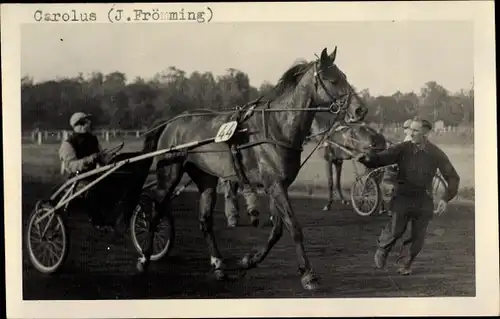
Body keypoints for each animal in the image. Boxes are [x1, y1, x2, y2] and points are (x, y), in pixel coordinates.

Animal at [137, 47, 368, 290]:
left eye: (344, 76)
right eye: (333, 80)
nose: (360, 110)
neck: (277, 127)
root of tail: (172, 122)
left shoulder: (278, 185)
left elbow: (277, 230)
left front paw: (250, 260)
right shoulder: (274, 184)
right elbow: (294, 227)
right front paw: (308, 274)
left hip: (206, 178)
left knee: (205, 221)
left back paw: (218, 265)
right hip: (169, 173)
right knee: (155, 212)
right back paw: (144, 258)